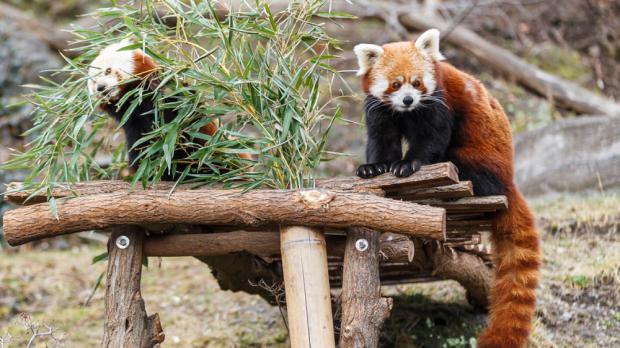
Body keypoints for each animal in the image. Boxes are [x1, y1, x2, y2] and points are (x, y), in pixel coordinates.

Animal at [88, 39, 252, 178]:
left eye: (107, 71)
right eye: (94, 82)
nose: (100, 88)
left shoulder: (175, 98)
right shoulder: (132, 122)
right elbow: (141, 149)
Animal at [356, 29, 540, 348]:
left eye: (417, 82)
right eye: (395, 84)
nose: (407, 99)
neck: (406, 113)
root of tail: (509, 180)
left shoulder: (439, 105)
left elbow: (432, 138)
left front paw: (408, 164)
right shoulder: (380, 110)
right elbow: (381, 140)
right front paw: (373, 168)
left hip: (481, 160)